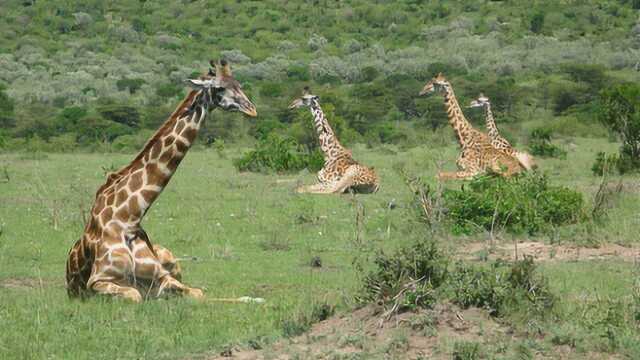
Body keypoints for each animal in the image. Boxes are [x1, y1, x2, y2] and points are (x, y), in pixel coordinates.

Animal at [64, 60, 255, 302]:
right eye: (220, 88)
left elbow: (199, 293)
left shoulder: (162, 278)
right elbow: (135, 295)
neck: (128, 218)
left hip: (170, 257)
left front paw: (250, 298)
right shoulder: (97, 282)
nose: (252, 109)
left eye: (239, 84)